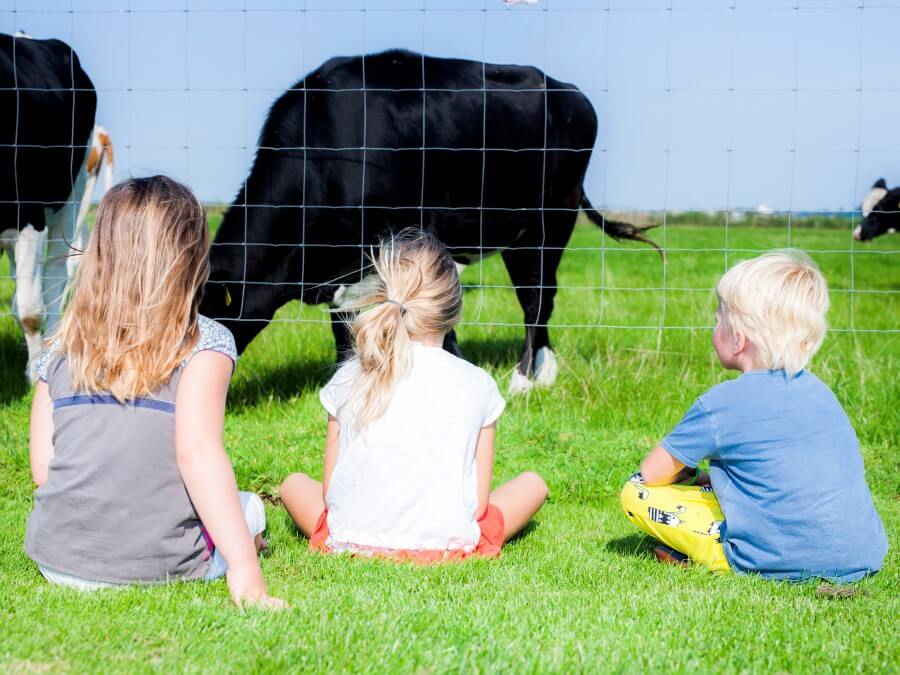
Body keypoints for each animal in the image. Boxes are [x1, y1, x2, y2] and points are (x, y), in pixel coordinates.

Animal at [200, 50, 656, 396]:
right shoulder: (347, 266)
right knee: (541, 295)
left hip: (552, 219)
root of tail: (566, 89)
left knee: (536, 298)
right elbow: (344, 325)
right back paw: (545, 372)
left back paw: (524, 380)